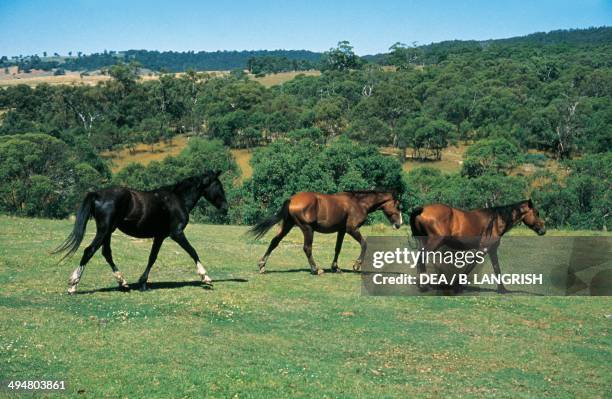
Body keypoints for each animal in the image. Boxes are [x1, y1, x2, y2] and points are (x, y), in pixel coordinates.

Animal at [53, 170, 227, 296]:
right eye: (219, 186)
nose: (225, 207)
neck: (177, 200)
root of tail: (97, 194)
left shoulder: (159, 236)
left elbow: (152, 258)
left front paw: (143, 283)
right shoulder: (176, 234)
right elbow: (193, 251)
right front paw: (206, 278)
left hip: (108, 232)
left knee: (106, 253)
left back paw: (123, 282)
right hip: (104, 231)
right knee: (89, 251)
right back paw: (73, 286)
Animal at [249, 191, 402, 276]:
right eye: (398, 206)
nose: (399, 224)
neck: (358, 203)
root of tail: (292, 199)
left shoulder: (341, 231)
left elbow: (338, 248)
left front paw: (336, 268)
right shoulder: (351, 229)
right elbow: (364, 244)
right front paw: (357, 265)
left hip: (287, 226)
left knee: (274, 241)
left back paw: (262, 265)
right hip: (307, 229)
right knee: (307, 248)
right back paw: (316, 269)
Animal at [412, 202, 544, 292]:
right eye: (536, 213)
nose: (543, 230)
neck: (495, 221)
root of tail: (421, 210)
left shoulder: (492, 250)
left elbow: (497, 268)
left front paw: (502, 289)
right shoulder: (483, 249)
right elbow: (470, 266)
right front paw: (456, 285)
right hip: (434, 243)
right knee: (421, 259)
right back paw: (423, 286)